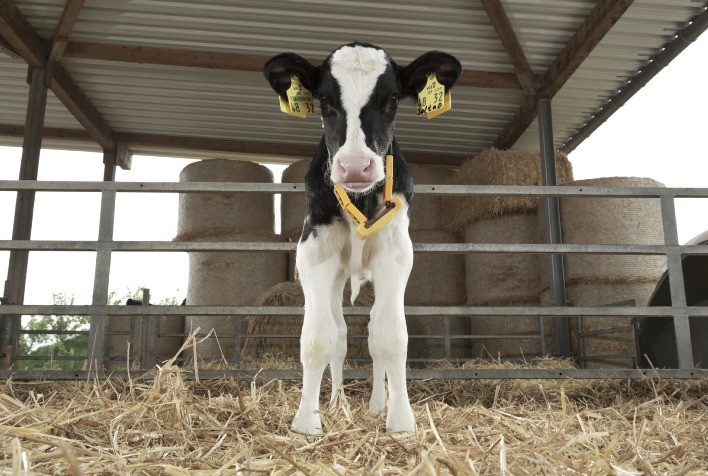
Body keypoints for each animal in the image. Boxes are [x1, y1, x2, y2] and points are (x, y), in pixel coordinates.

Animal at [264, 42, 461, 434]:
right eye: (325, 99)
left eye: (392, 100)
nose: (355, 166)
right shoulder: (314, 253)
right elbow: (318, 338)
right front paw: (307, 422)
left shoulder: (396, 254)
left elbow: (389, 336)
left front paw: (400, 420)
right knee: (340, 335)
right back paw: (338, 403)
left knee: (371, 332)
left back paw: (376, 404)